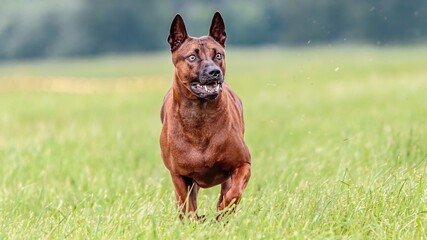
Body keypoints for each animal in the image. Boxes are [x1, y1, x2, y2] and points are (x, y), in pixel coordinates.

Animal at [160, 12, 251, 219]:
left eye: (217, 55)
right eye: (192, 57)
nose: (214, 72)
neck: (200, 114)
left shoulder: (242, 164)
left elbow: (233, 194)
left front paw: (222, 212)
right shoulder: (179, 176)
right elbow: (187, 207)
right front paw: (196, 221)